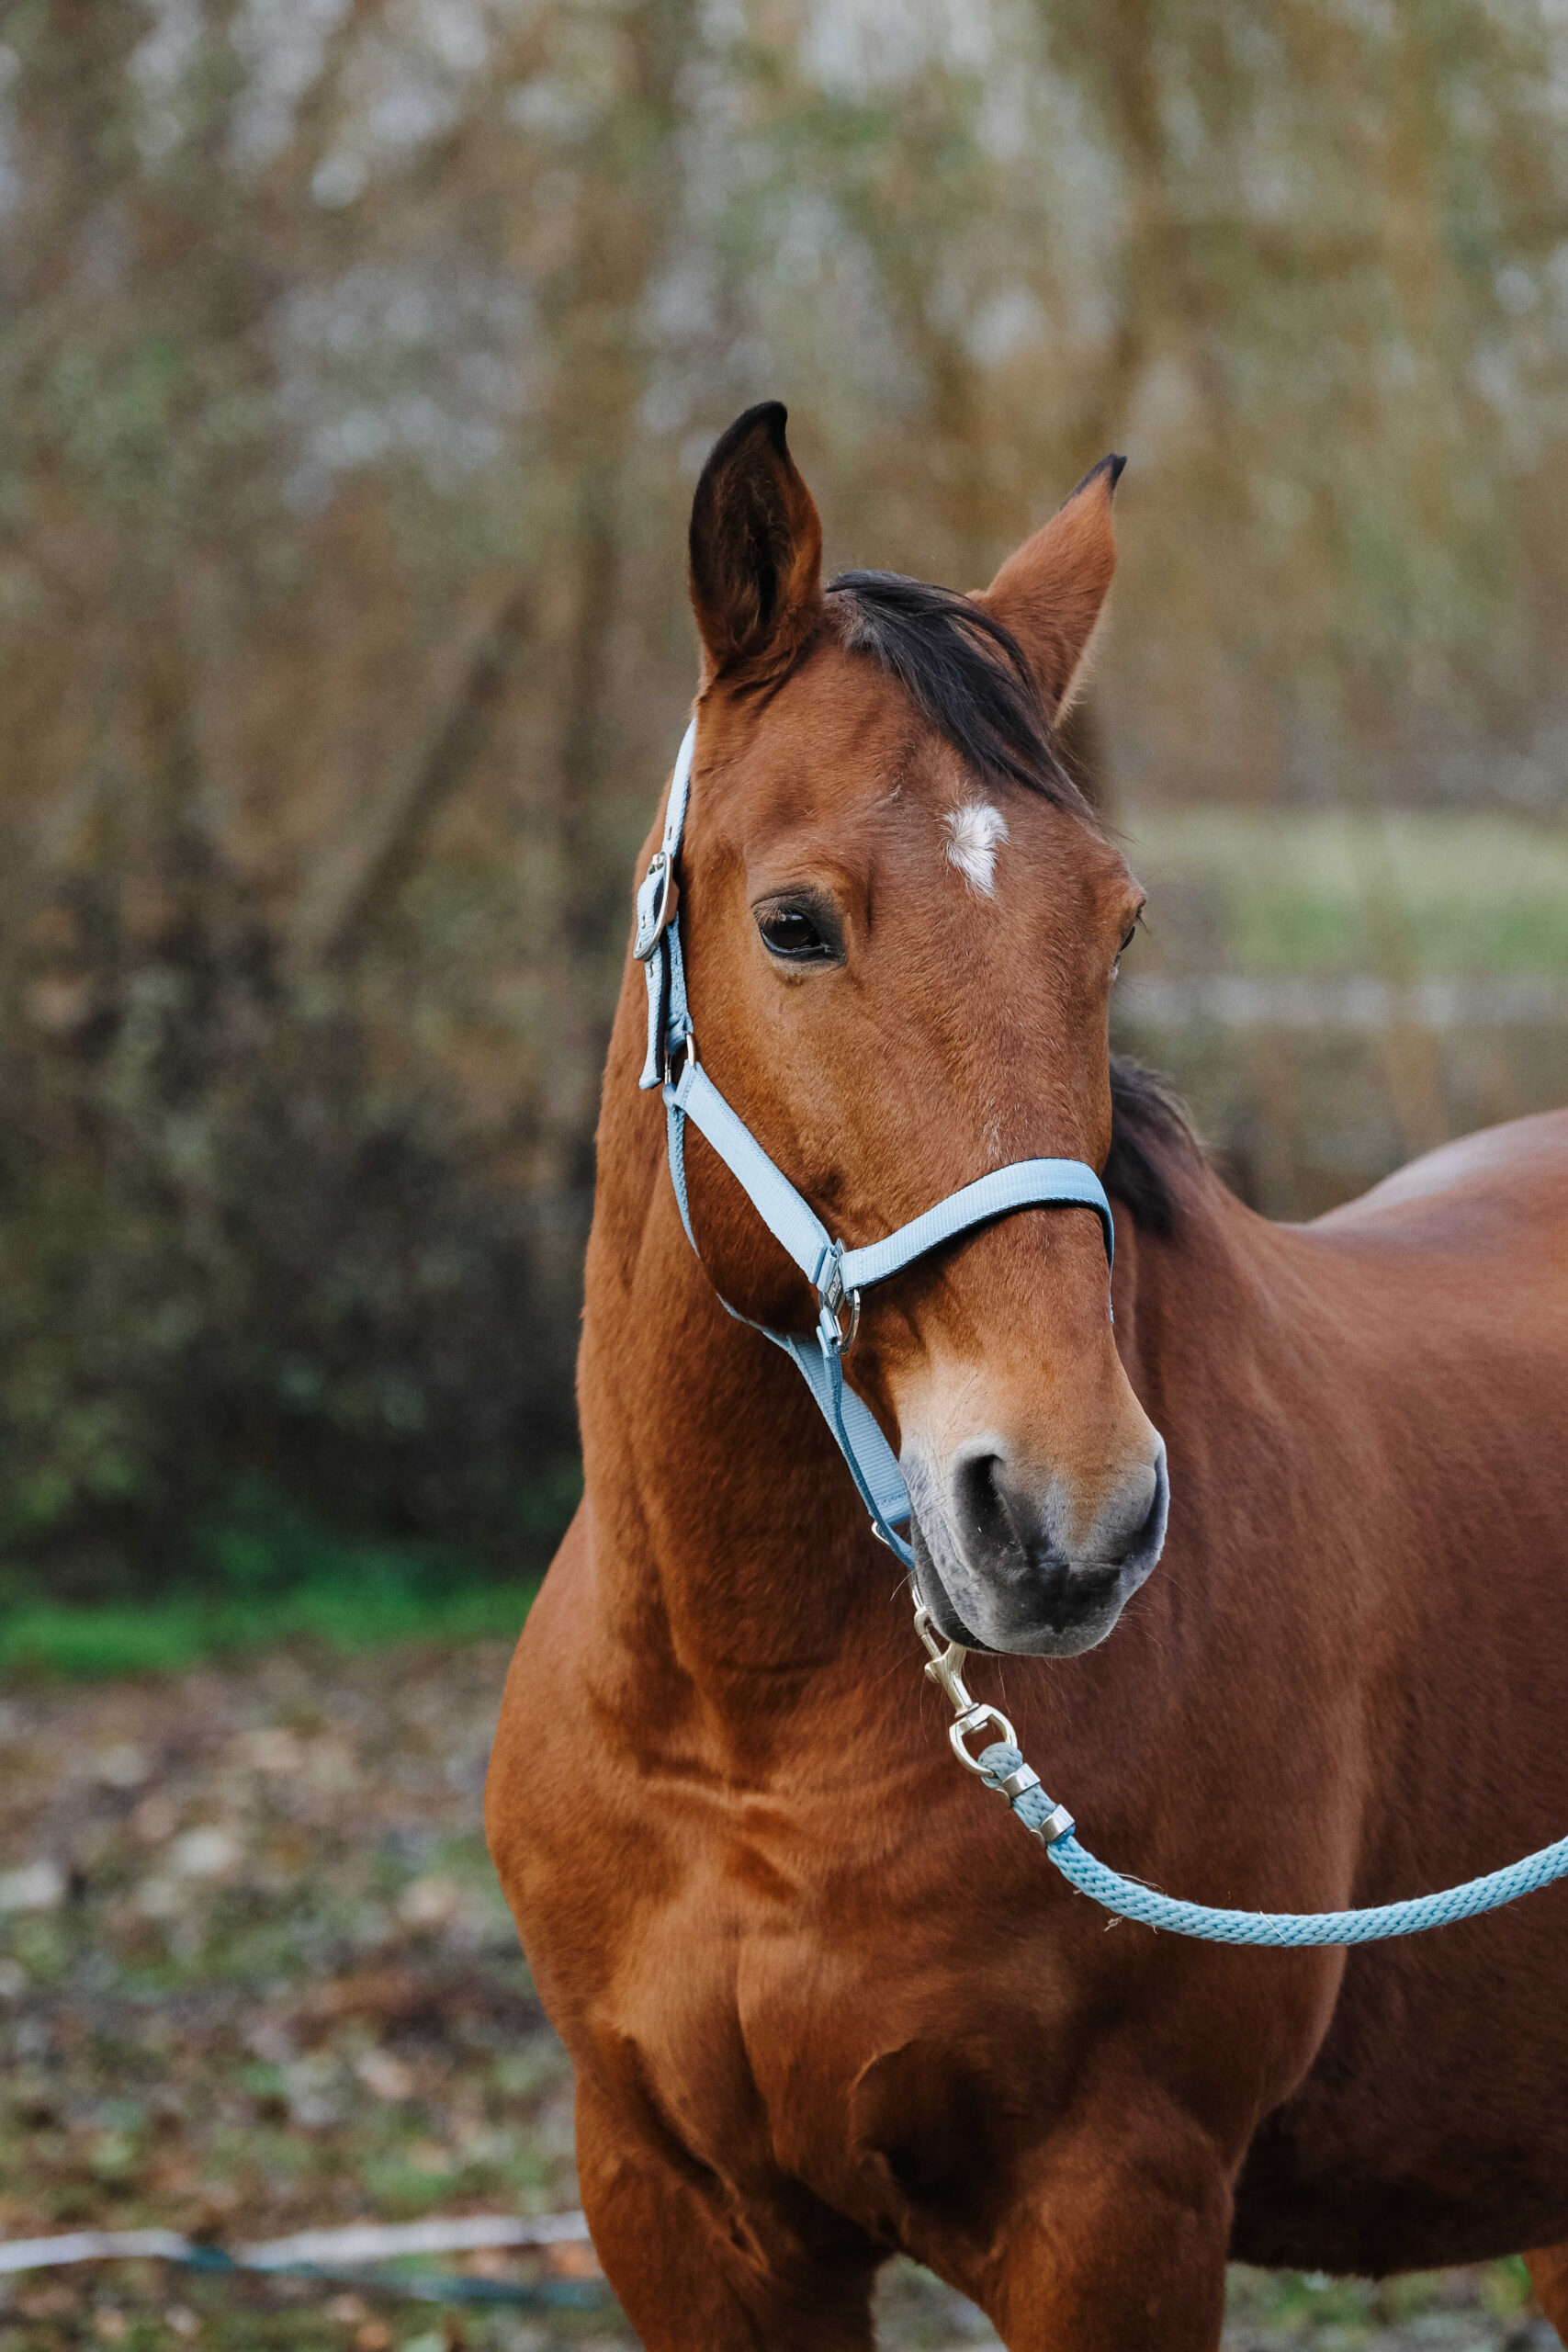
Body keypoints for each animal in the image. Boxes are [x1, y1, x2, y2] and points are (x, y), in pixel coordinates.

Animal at [486, 402, 1568, 2350]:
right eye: (793, 924)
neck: (745, 1732)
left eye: (1114, 927)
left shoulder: (1113, 2210)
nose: (1071, 1519)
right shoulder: (677, 2216)